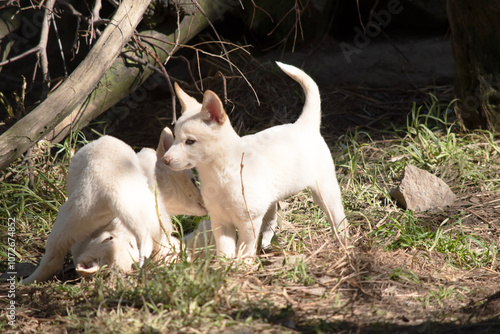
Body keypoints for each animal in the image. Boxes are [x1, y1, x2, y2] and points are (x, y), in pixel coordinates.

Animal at [22, 126, 206, 284]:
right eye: (192, 180)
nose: (205, 204)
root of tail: (112, 190)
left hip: (75, 215)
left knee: (52, 257)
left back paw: (26, 281)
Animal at [163, 63, 348, 260]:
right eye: (175, 138)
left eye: (190, 141)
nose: (165, 159)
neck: (217, 174)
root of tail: (304, 125)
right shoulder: (221, 222)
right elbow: (225, 250)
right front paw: (224, 266)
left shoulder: (248, 222)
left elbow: (245, 248)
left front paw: (242, 264)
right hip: (272, 200)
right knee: (271, 220)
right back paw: (267, 243)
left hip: (325, 191)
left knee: (338, 218)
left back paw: (344, 243)